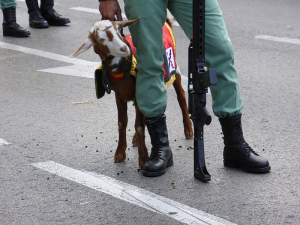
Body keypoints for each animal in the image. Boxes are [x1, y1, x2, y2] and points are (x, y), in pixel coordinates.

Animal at [69, 18, 192, 169]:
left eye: (118, 31)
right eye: (100, 39)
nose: (124, 48)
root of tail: (166, 22)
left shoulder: (140, 94)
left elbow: (139, 126)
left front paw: (143, 158)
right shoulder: (119, 96)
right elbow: (122, 123)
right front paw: (120, 153)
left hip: (174, 68)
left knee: (181, 96)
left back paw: (188, 129)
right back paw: (135, 139)